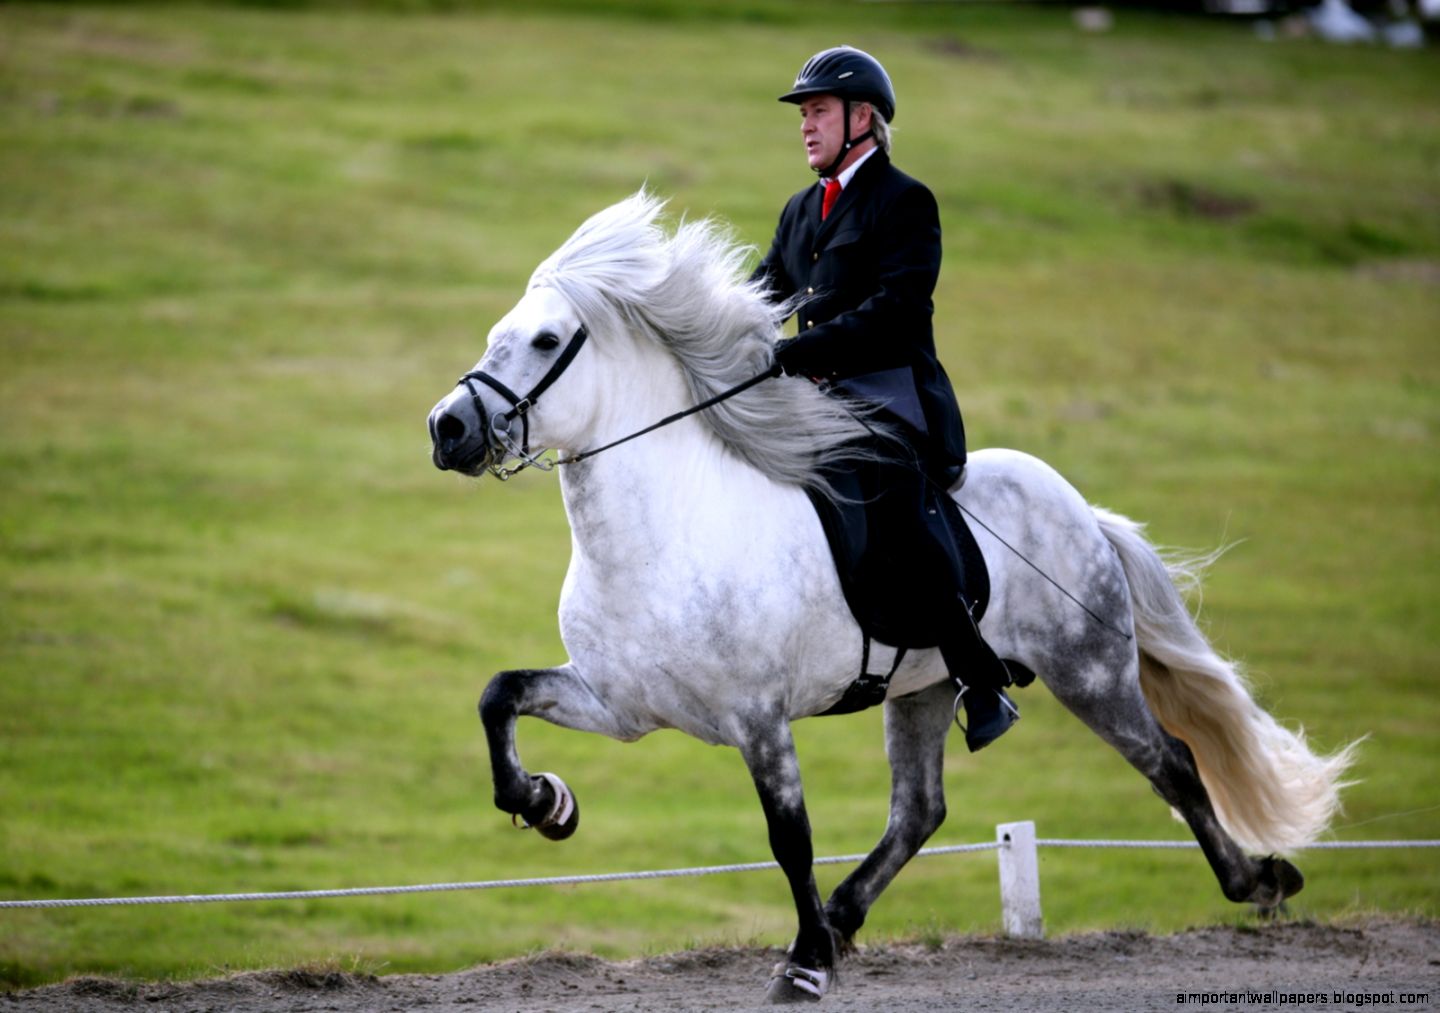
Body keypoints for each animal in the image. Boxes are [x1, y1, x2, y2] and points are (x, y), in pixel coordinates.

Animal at [426, 191, 1356, 1004]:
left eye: (545, 339)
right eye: (498, 332)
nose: (448, 429)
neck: (664, 532)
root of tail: (1079, 507)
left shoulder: (757, 719)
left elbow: (789, 838)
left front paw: (803, 967)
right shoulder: (619, 703)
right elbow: (497, 695)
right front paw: (547, 802)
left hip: (1088, 670)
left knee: (1172, 762)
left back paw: (1259, 879)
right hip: (929, 685)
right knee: (920, 809)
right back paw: (844, 915)